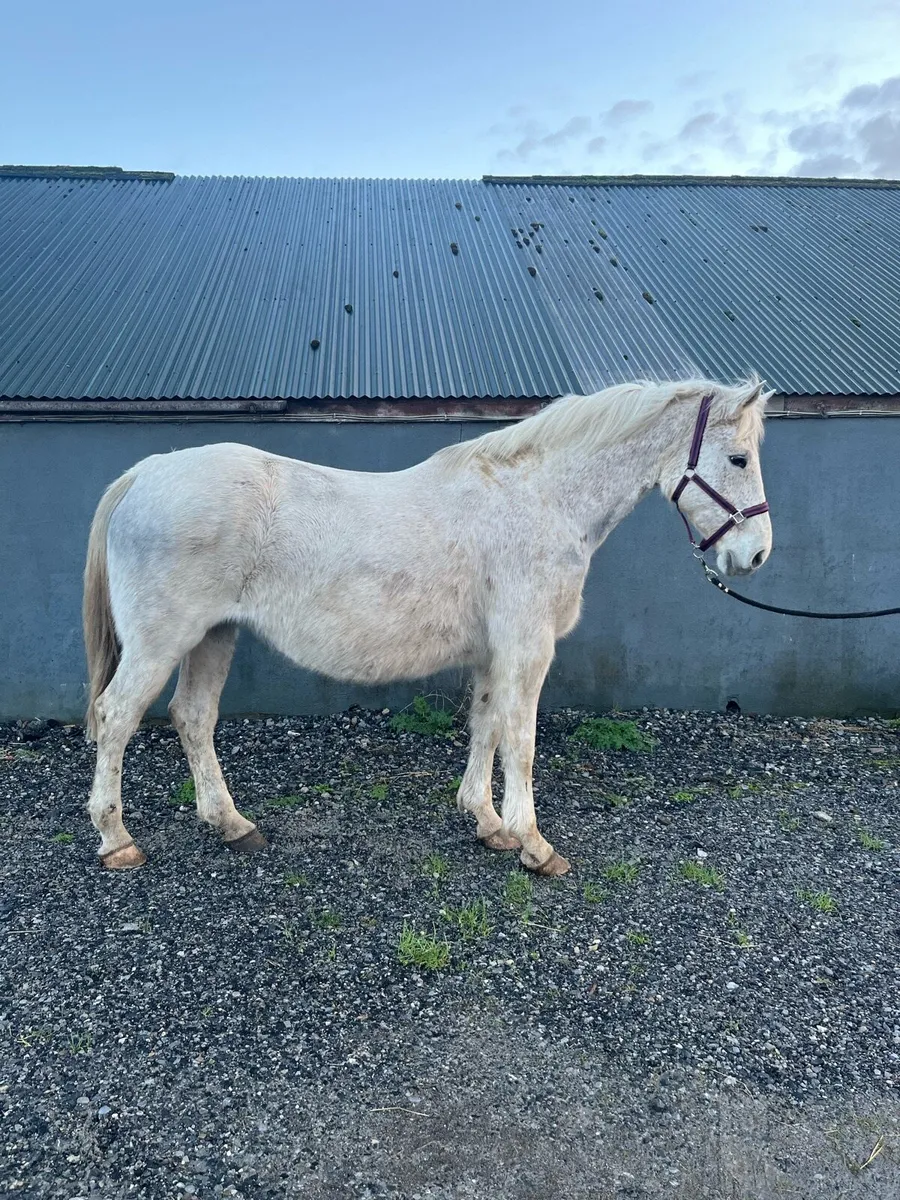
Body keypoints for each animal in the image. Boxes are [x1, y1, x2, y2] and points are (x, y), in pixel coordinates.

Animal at [82, 376, 773, 875]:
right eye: (738, 457)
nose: (757, 555)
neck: (540, 500)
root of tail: (147, 472)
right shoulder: (528, 647)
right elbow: (521, 739)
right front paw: (534, 844)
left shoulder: (494, 652)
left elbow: (486, 727)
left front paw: (488, 824)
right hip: (162, 642)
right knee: (116, 717)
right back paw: (117, 841)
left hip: (212, 636)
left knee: (193, 718)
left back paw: (232, 826)